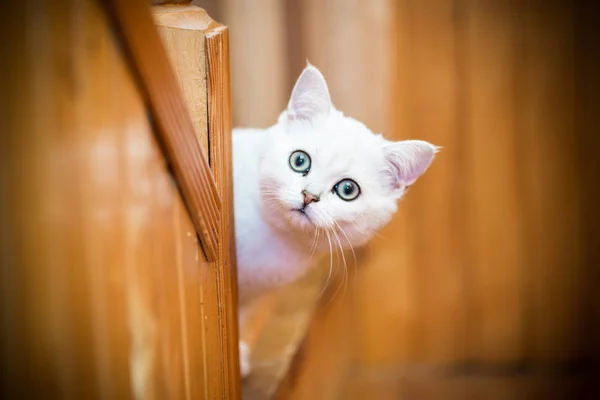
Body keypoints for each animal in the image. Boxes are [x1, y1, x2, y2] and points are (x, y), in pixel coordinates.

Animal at [231, 64, 436, 376]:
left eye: (347, 190)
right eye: (299, 161)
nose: (309, 196)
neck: (277, 238)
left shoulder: (246, 297)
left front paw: (237, 357)